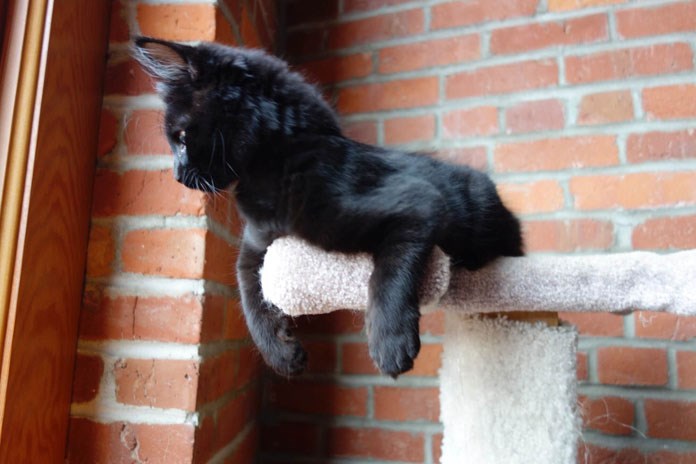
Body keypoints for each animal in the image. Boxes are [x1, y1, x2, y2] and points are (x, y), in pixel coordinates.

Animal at [135, 36, 520, 376]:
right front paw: (281, 354)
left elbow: (388, 274)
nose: (177, 176)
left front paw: (390, 344)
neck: (285, 157)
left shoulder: (417, 204)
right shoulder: (258, 247)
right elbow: (247, 290)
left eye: (181, 138)